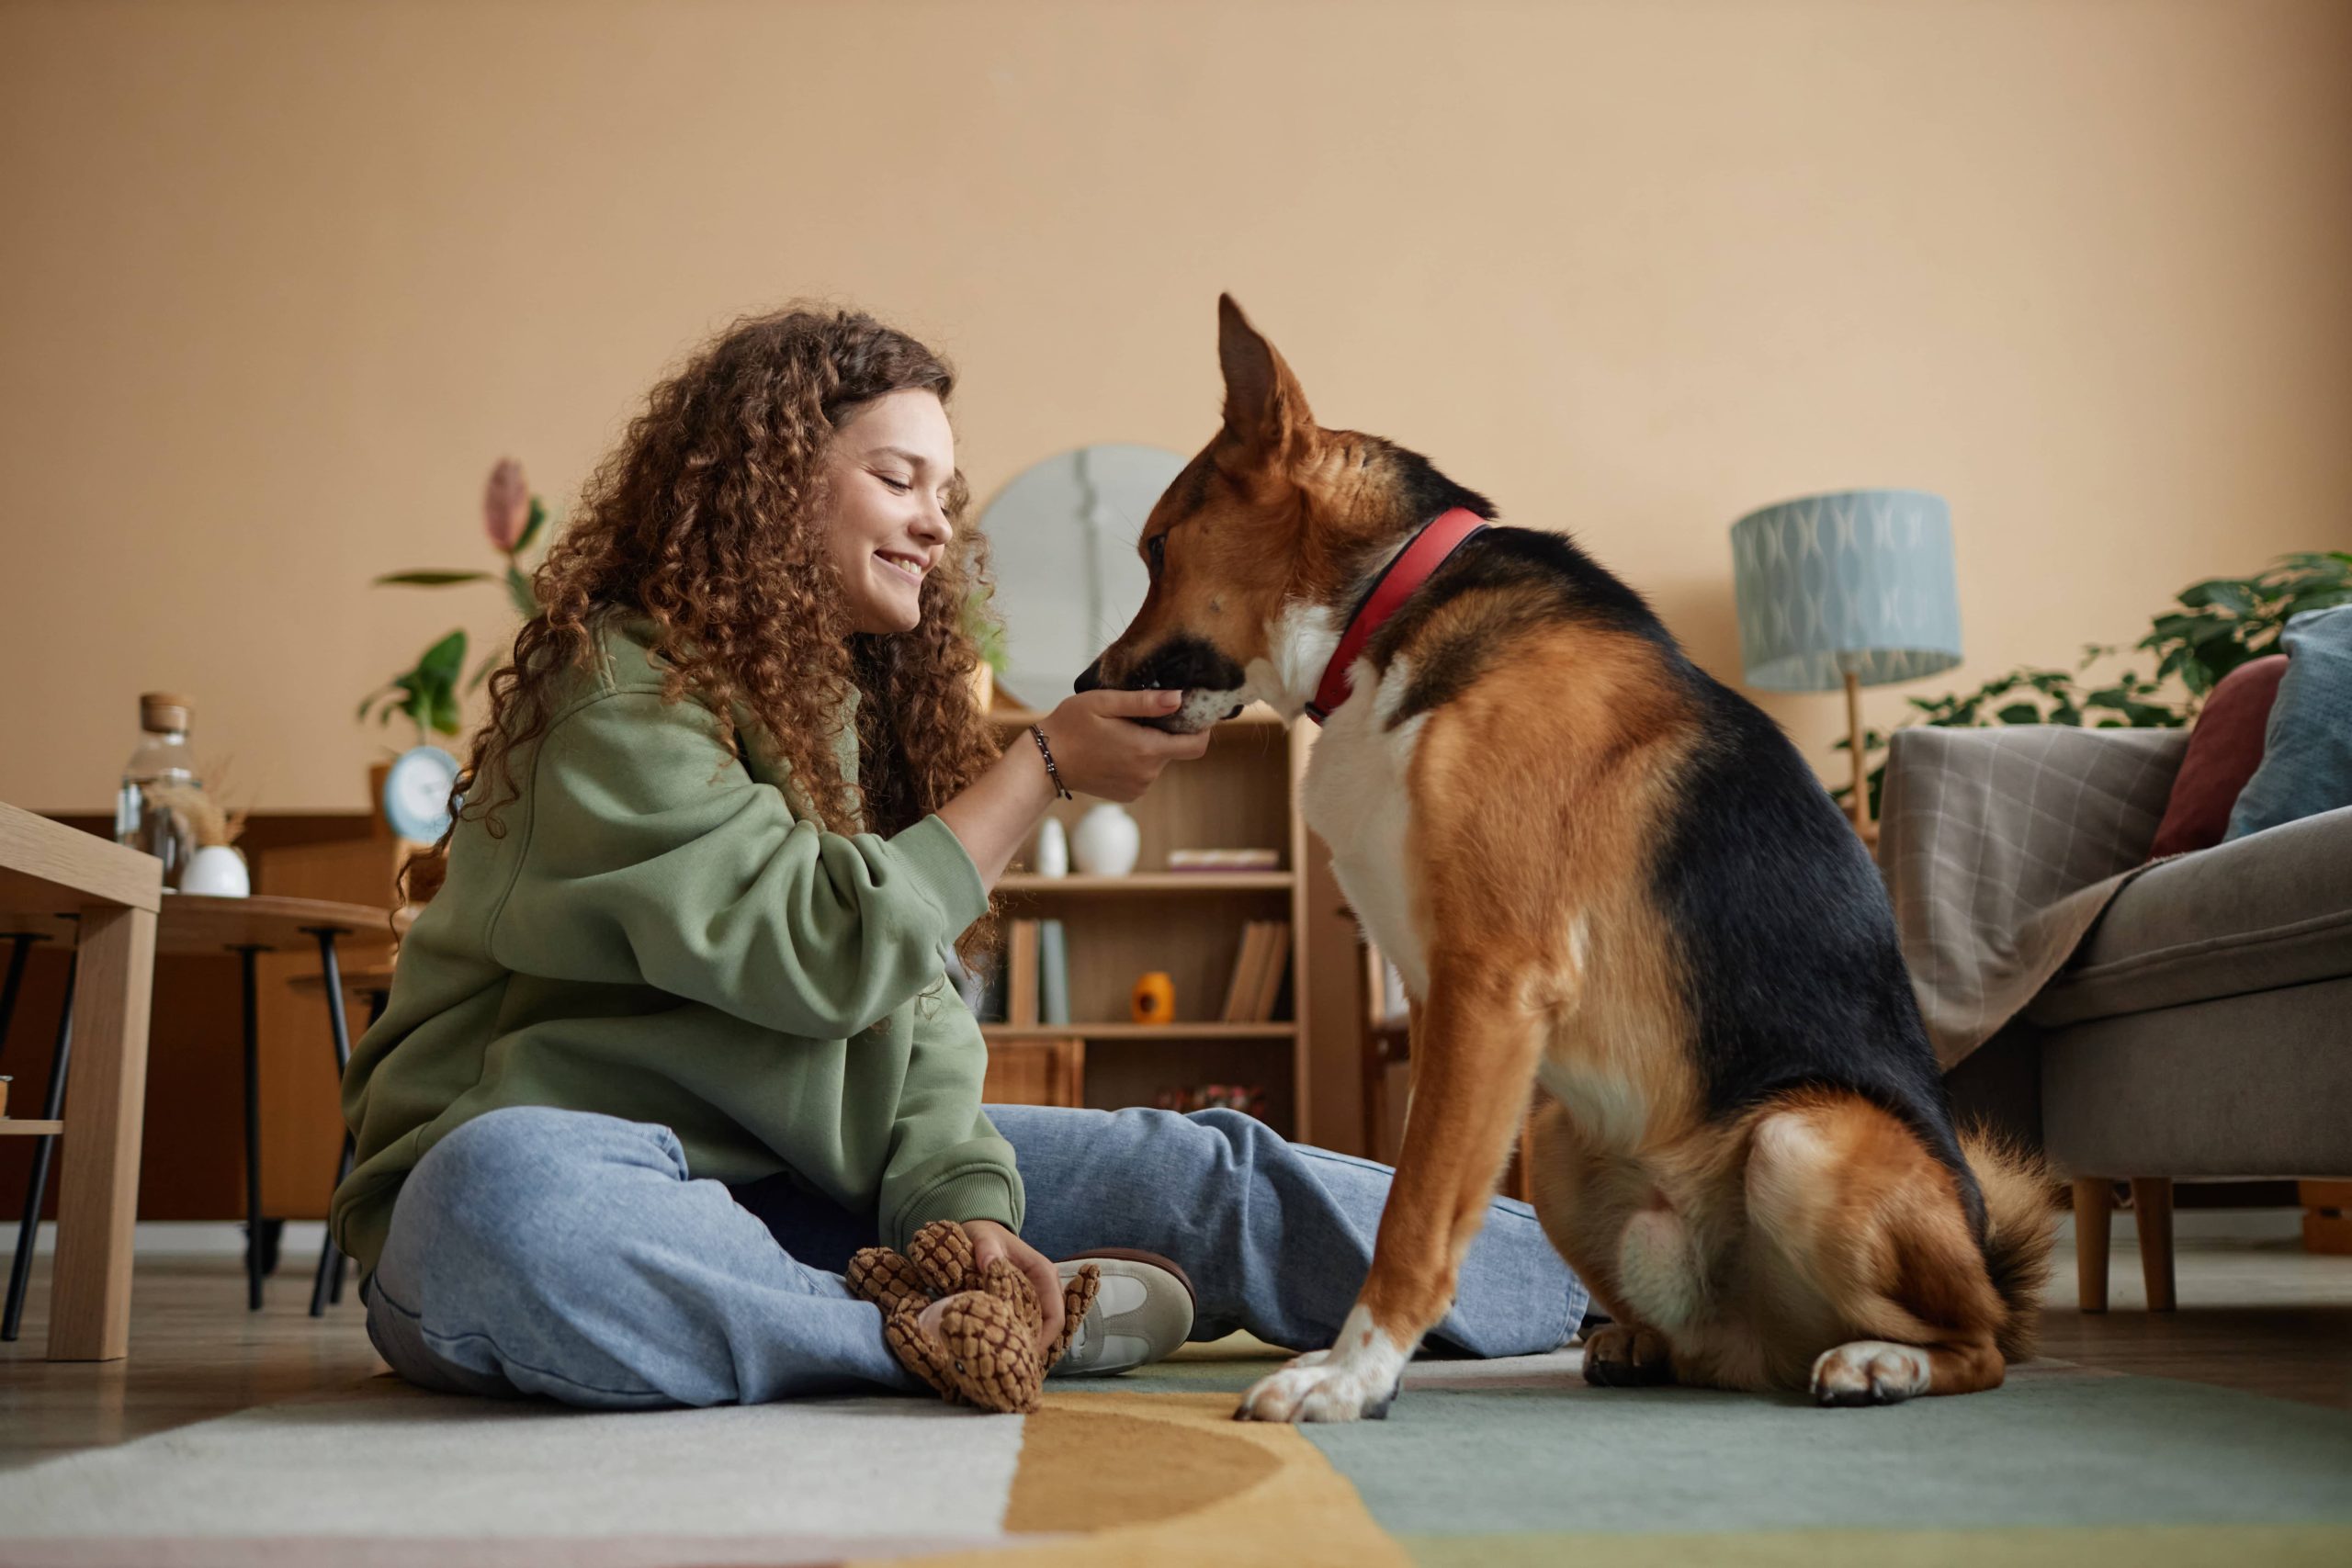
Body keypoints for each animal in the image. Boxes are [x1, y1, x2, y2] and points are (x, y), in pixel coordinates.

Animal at [1077, 293, 2051, 1419]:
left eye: (1156, 548)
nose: (1081, 685)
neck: (1386, 611)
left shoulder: (1491, 981)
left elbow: (1415, 1214)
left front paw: (1349, 1376)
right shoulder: (1446, 1005)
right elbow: (1420, 1186)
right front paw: (1363, 1368)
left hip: (1797, 1141)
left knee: (1982, 1343)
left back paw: (1880, 1363)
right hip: (1553, 1147)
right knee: (1710, 1346)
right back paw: (1646, 1346)